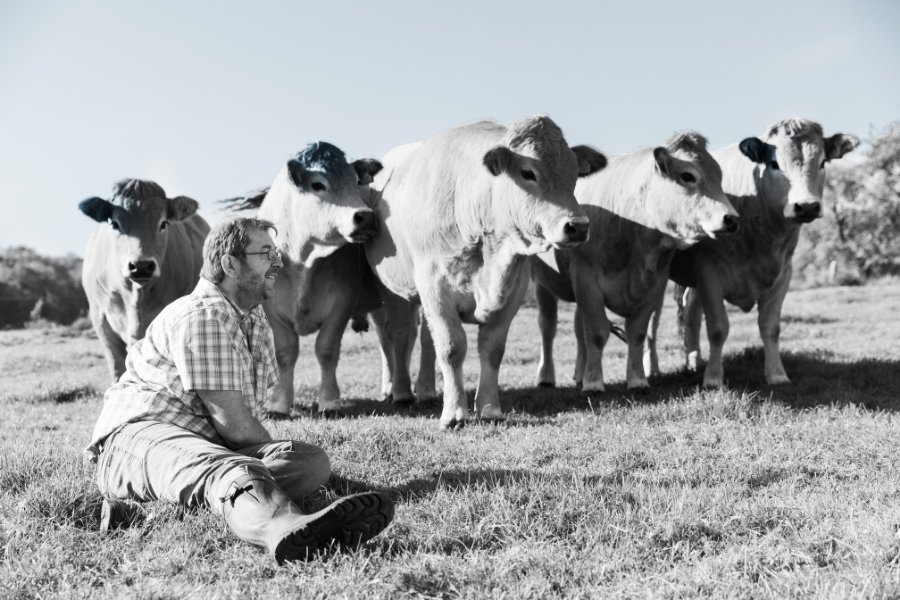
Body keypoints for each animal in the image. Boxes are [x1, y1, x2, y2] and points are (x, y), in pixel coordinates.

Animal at [225, 143, 384, 420]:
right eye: (317, 184)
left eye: (355, 181)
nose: (365, 216)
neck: (303, 260)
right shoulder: (272, 308)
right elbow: (285, 352)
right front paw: (279, 404)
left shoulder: (342, 303)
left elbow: (326, 349)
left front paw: (329, 401)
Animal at [364, 115, 604, 428]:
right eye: (528, 172)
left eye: (574, 173)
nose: (578, 226)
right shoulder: (434, 285)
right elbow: (451, 347)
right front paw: (454, 412)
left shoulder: (514, 289)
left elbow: (492, 348)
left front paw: (489, 408)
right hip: (392, 288)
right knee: (400, 335)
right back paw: (401, 391)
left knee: (427, 340)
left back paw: (426, 389)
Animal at [532, 132, 736, 394]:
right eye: (688, 176)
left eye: (719, 176)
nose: (731, 218)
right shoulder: (586, 280)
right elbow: (596, 332)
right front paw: (594, 383)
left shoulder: (655, 284)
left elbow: (637, 333)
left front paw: (637, 379)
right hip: (542, 284)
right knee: (548, 327)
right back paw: (546, 376)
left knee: (578, 330)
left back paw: (579, 372)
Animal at [652, 119, 860, 386]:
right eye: (774, 163)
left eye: (823, 162)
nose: (806, 206)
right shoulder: (710, 274)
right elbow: (718, 328)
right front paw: (713, 378)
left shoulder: (782, 275)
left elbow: (770, 327)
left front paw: (777, 374)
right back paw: (653, 370)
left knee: (691, 314)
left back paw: (694, 361)